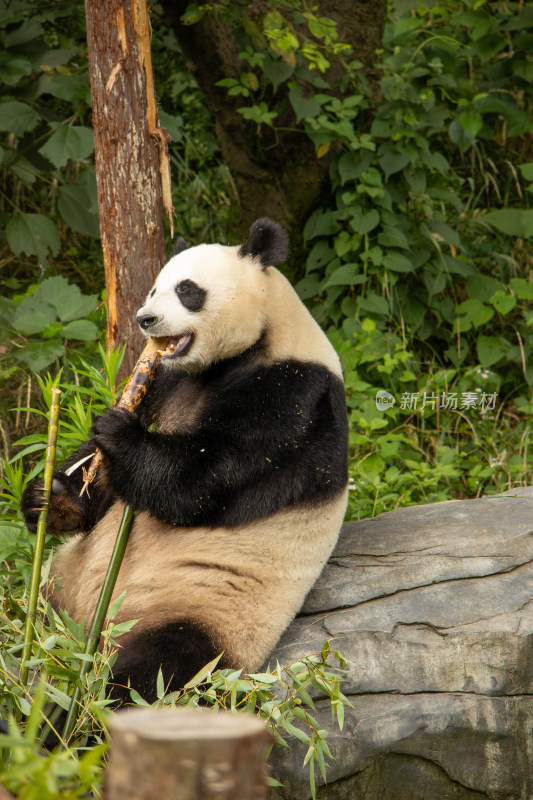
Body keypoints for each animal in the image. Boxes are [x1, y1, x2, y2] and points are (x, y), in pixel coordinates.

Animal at [21, 217, 350, 700]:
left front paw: (117, 432)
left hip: (204, 611)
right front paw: (51, 494)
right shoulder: (161, 379)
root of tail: (85, 634)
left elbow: (200, 480)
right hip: (59, 581)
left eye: (187, 290)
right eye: (154, 288)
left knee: (154, 669)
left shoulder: (292, 396)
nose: (145, 319)